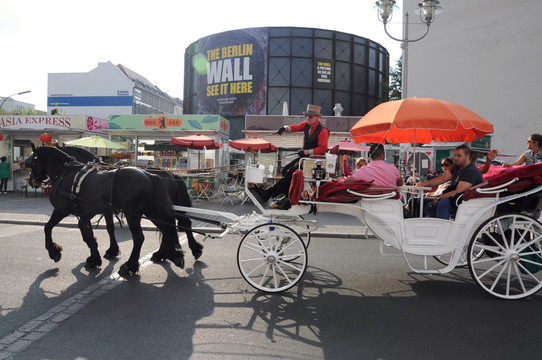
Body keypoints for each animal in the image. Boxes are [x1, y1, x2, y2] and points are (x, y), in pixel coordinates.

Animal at [25, 145, 186, 274]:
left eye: (32, 161)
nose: (32, 181)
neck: (66, 173)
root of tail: (150, 174)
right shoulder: (87, 214)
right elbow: (91, 235)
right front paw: (96, 257)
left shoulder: (61, 210)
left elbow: (48, 227)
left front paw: (54, 251)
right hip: (152, 211)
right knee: (167, 229)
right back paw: (171, 255)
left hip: (133, 214)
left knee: (140, 237)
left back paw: (130, 266)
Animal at [55, 144, 204, 262]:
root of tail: (171, 175)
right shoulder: (107, 209)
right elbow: (110, 228)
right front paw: (112, 250)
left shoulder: (106, 209)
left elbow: (109, 228)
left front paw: (111, 251)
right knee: (179, 224)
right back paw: (178, 252)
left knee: (171, 226)